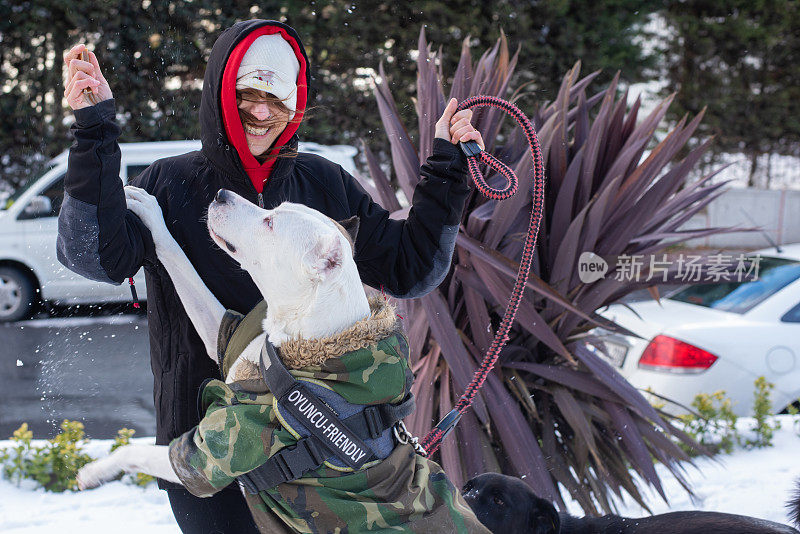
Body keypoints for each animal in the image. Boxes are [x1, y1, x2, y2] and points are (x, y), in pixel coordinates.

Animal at [74, 187, 368, 490]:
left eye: (270, 223)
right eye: (274, 210)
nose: (222, 194)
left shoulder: (212, 454)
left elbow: (135, 452)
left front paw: (95, 470)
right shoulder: (225, 336)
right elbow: (182, 265)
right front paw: (149, 212)